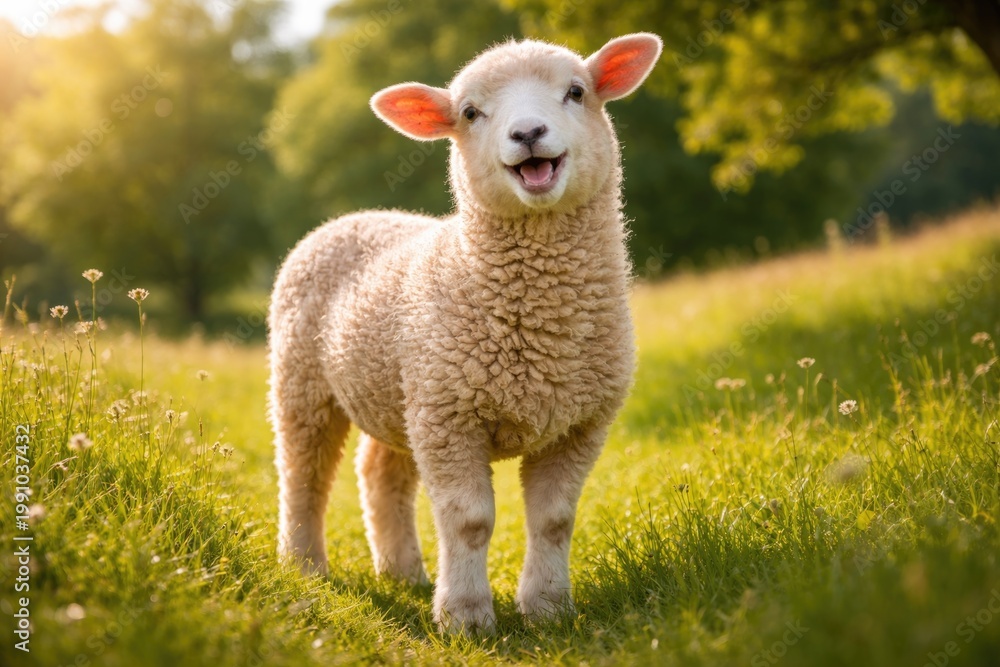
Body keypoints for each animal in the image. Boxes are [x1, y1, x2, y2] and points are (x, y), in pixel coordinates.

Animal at [268, 33, 662, 633]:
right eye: (471, 113)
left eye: (576, 91)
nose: (527, 133)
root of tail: (351, 217)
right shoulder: (451, 419)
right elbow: (469, 521)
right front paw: (466, 617)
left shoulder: (579, 424)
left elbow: (554, 519)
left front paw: (548, 608)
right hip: (305, 383)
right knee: (303, 474)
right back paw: (304, 565)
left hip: (401, 393)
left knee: (380, 473)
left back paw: (403, 571)